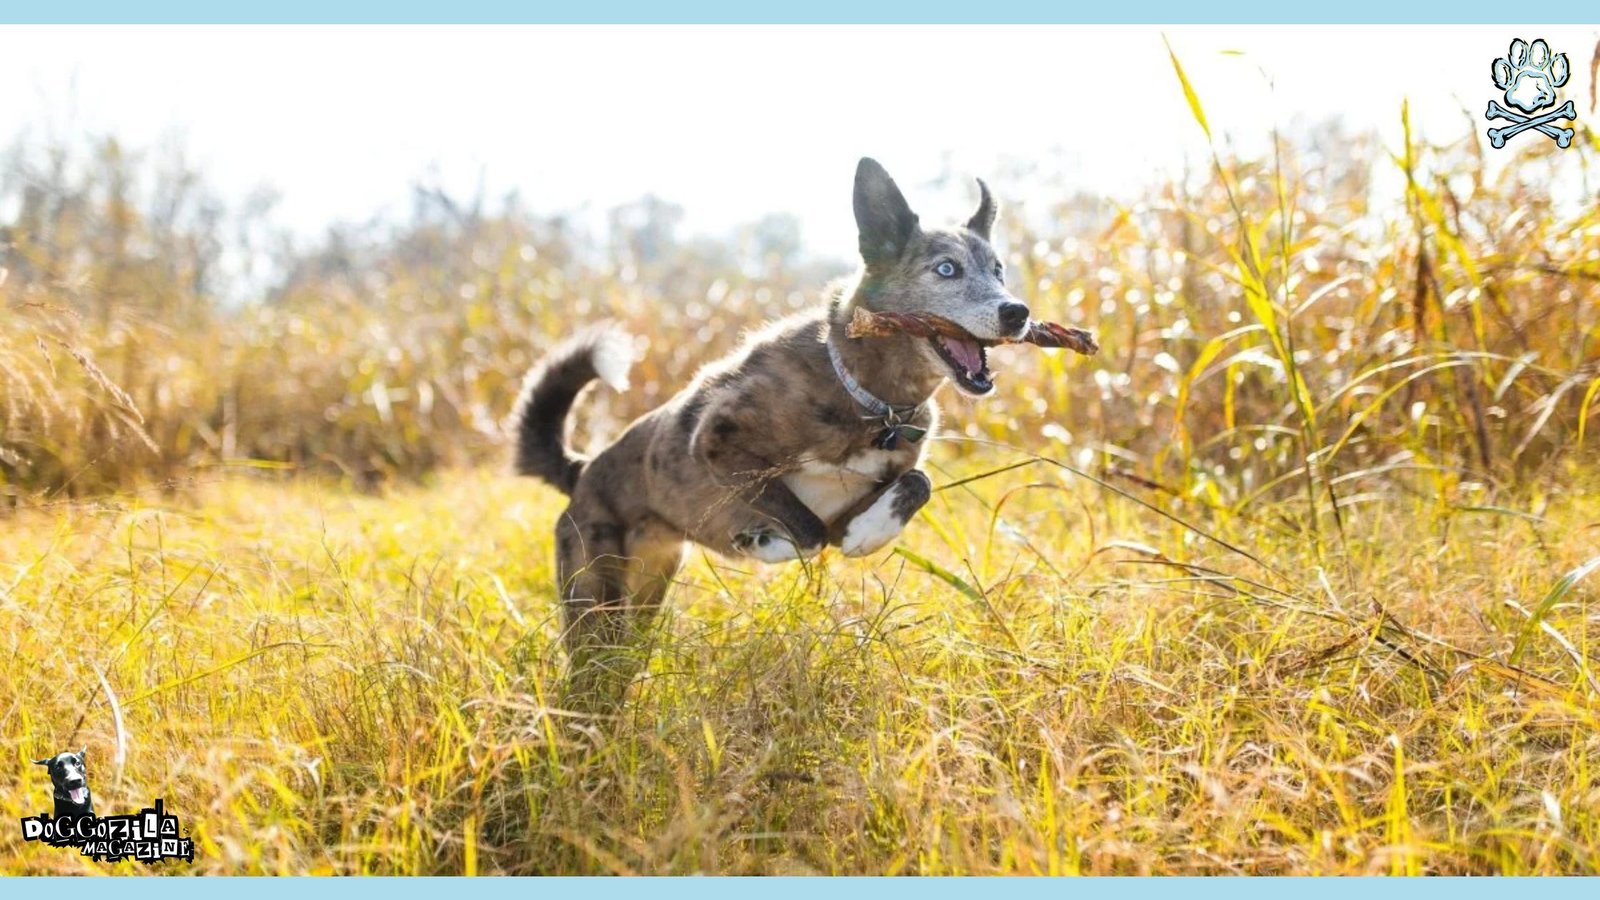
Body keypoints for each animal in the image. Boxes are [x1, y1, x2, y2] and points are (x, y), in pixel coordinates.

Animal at [515, 157, 1036, 704]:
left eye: (998, 269)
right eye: (946, 269)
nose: (1017, 312)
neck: (866, 397)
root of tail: (582, 471)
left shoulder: (865, 491)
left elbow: (916, 483)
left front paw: (867, 535)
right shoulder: (717, 442)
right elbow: (806, 531)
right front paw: (763, 543)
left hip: (643, 597)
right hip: (594, 601)